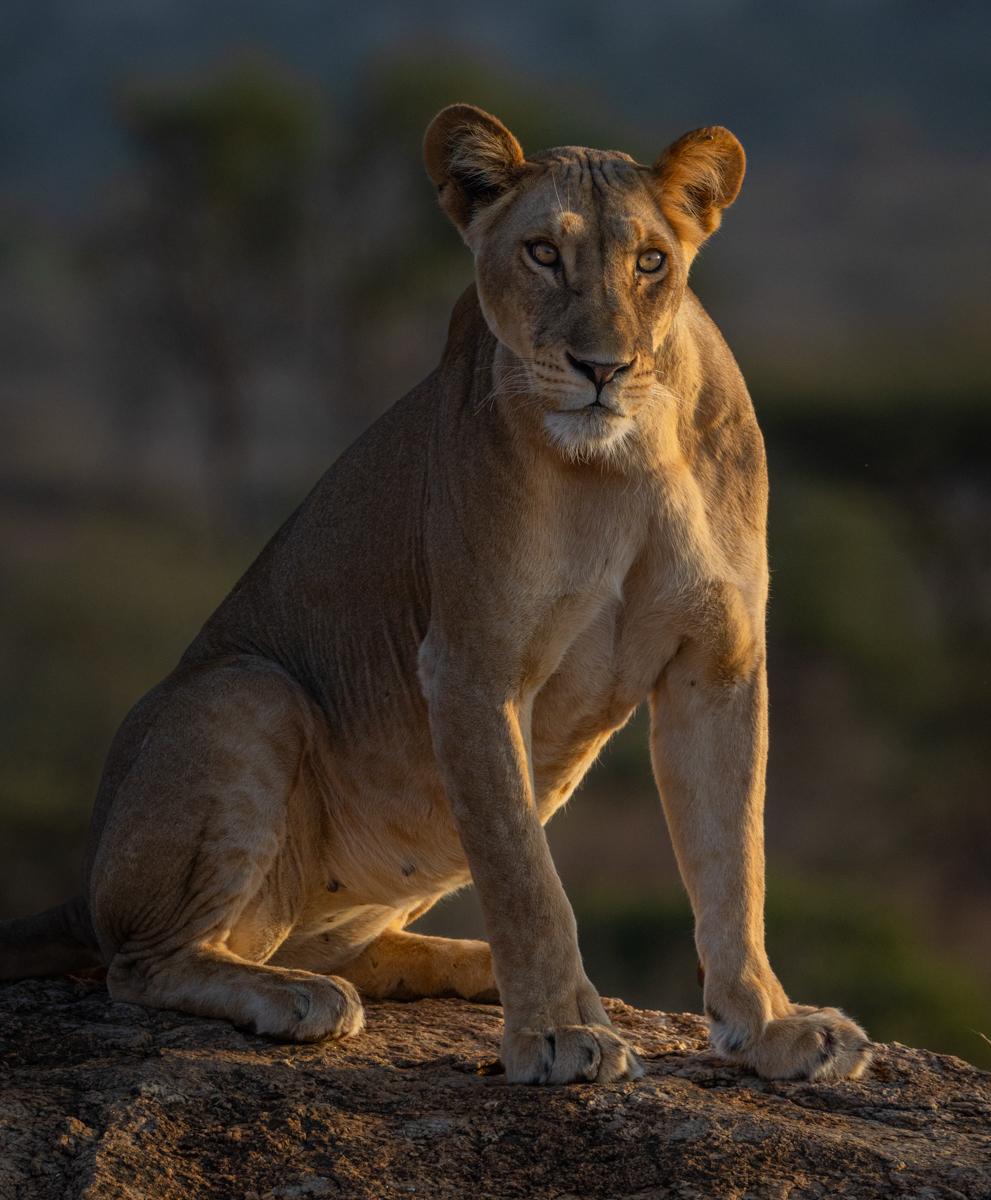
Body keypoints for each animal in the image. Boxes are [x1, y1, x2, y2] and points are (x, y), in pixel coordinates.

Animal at [0, 105, 871, 1086]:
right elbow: (525, 875)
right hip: (247, 692)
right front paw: (557, 1035)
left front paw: (769, 1028)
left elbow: (734, 860)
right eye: (542, 253)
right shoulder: (470, 666)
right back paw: (311, 998)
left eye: (650, 261)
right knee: (143, 962)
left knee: (336, 946)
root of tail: (81, 887)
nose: (601, 367)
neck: (625, 462)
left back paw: (496, 972)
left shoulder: (716, 662)